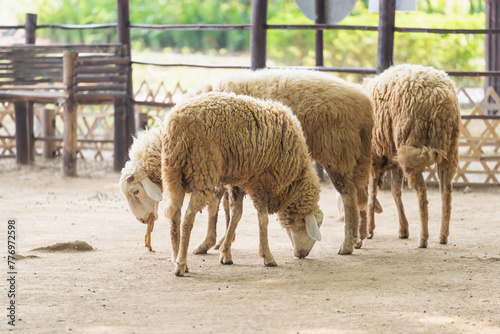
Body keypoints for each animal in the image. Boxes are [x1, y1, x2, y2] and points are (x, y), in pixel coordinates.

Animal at [162, 90, 322, 276]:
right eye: (314, 225)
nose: (302, 255)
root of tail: (176, 123)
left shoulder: (238, 181)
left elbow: (236, 216)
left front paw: (225, 254)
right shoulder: (260, 183)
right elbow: (262, 219)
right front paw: (267, 256)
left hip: (172, 174)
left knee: (174, 217)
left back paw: (177, 259)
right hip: (203, 171)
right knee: (188, 218)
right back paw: (181, 264)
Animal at [364, 64, 460, 247]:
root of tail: (442, 97)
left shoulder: (374, 158)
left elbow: (372, 194)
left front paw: (369, 229)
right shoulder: (394, 160)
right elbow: (395, 191)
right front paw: (403, 229)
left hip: (411, 145)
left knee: (422, 192)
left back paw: (423, 238)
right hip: (449, 150)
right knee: (446, 191)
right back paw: (443, 235)